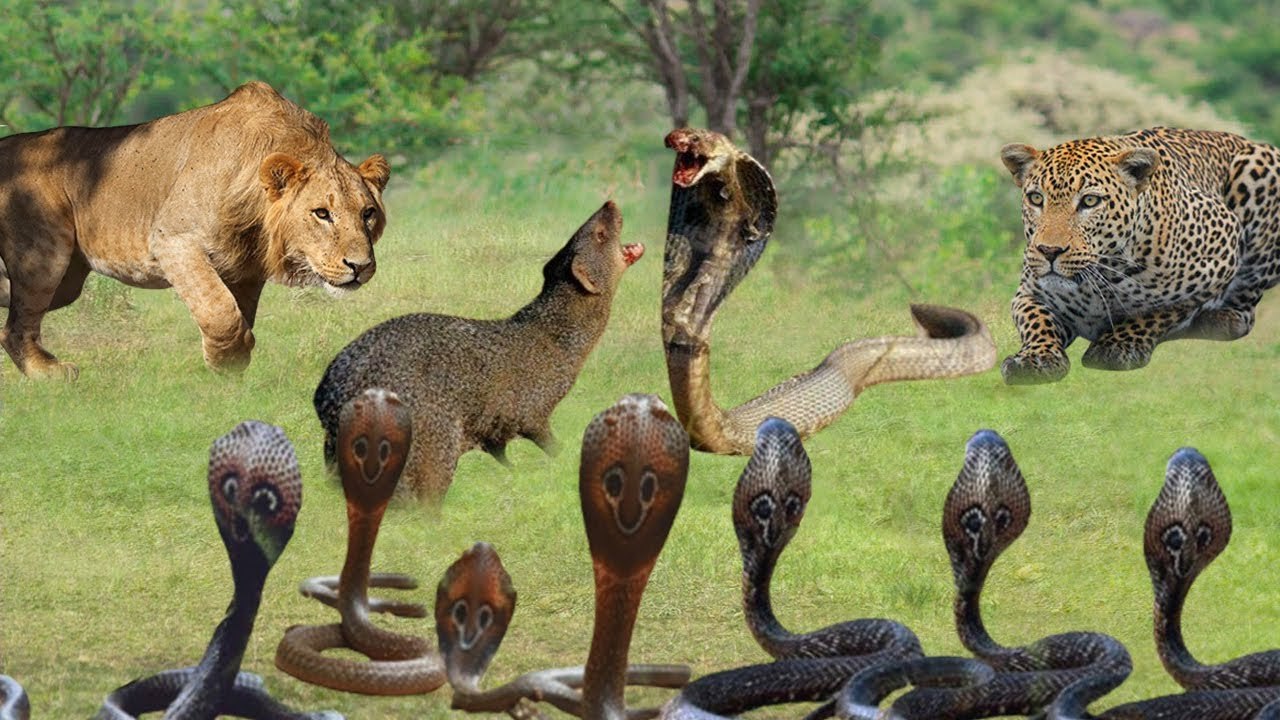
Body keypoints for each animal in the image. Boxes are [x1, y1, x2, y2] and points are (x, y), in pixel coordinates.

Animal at [0, 81, 390, 378]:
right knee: (16, 327)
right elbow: (219, 310)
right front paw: (227, 360)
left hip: (66, 282)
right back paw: (49, 374)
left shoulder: (245, 270)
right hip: (45, 257)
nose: (360, 267)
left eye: (367, 213)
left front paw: (233, 365)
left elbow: (236, 310)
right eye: (322, 213)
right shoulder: (172, 240)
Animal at [999, 127, 1280, 384]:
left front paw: (1118, 344)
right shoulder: (1029, 291)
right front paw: (1035, 358)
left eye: (1089, 201)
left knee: (1247, 305)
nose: (1049, 251)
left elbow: (1161, 309)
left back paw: (1220, 320)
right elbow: (1037, 319)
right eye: (1036, 198)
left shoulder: (1223, 250)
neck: (1100, 278)